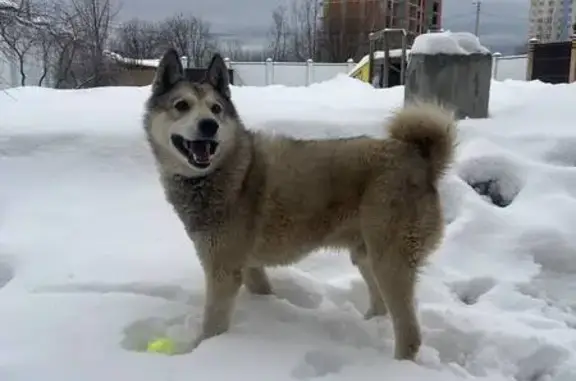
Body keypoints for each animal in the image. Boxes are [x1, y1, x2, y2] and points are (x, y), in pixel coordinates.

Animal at [142, 47, 456, 360]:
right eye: (181, 105)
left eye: (216, 108)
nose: (209, 125)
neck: (225, 170)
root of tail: (419, 157)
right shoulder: (249, 267)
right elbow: (263, 291)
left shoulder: (223, 271)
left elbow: (211, 327)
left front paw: (198, 353)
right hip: (367, 255)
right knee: (381, 306)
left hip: (389, 262)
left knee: (410, 333)